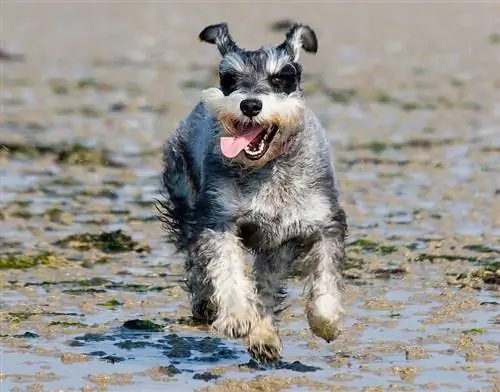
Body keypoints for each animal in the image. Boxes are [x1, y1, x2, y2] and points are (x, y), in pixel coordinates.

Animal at [157, 22, 348, 364]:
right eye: (229, 77)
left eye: (281, 76)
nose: (250, 105)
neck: (268, 168)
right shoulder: (218, 221)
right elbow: (227, 271)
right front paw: (235, 317)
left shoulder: (323, 224)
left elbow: (325, 276)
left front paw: (326, 322)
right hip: (187, 205)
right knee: (197, 264)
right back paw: (208, 306)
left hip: (276, 247)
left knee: (266, 288)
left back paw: (264, 337)